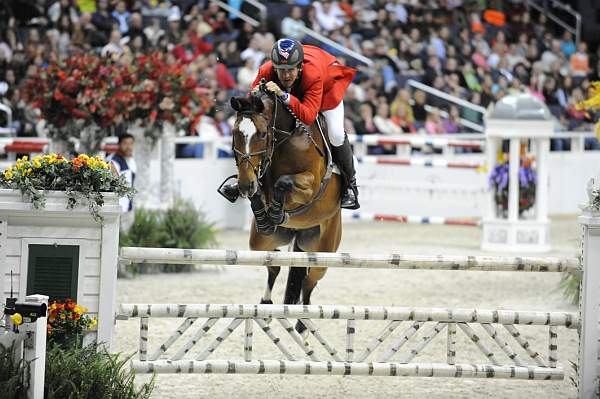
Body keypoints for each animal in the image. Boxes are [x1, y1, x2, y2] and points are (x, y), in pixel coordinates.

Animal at [227, 86, 344, 336]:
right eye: (235, 133)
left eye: (262, 134)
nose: (244, 185)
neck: (284, 140)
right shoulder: (259, 177)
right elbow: (262, 191)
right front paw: (264, 214)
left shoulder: (310, 185)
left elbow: (284, 182)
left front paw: (276, 212)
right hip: (261, 242)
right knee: (275, 264)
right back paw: (266, 304)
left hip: (325, 250)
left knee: (309, 280)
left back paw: (303, 321)